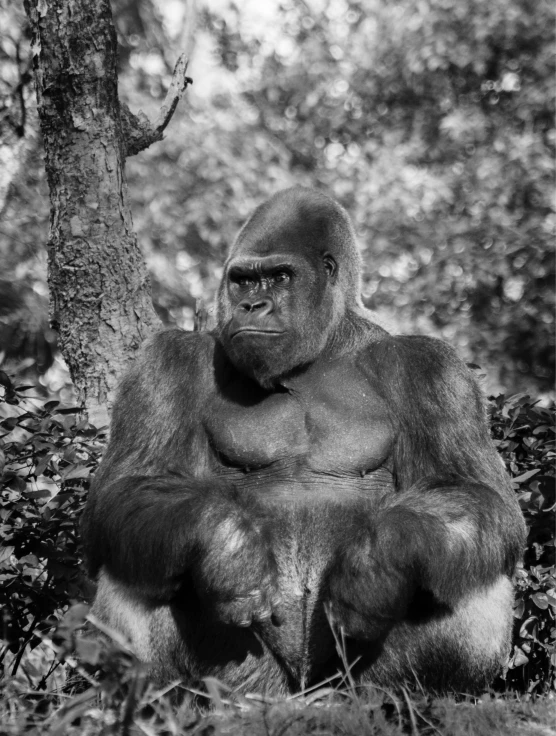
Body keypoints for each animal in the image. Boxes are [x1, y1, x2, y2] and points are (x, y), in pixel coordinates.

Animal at [80, 187, 524, 692]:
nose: (252, 307)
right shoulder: (167, 361)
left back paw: (413, 693)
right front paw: (228, 549)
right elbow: (129, 488)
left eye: (279, 277)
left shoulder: (434, 368)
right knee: (136, 560)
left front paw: (379, 563)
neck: (323, 348)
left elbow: (473, 493)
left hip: (343, 682)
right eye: (243, 281)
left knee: (467, 565)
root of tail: (301, 693)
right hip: (254, 679)